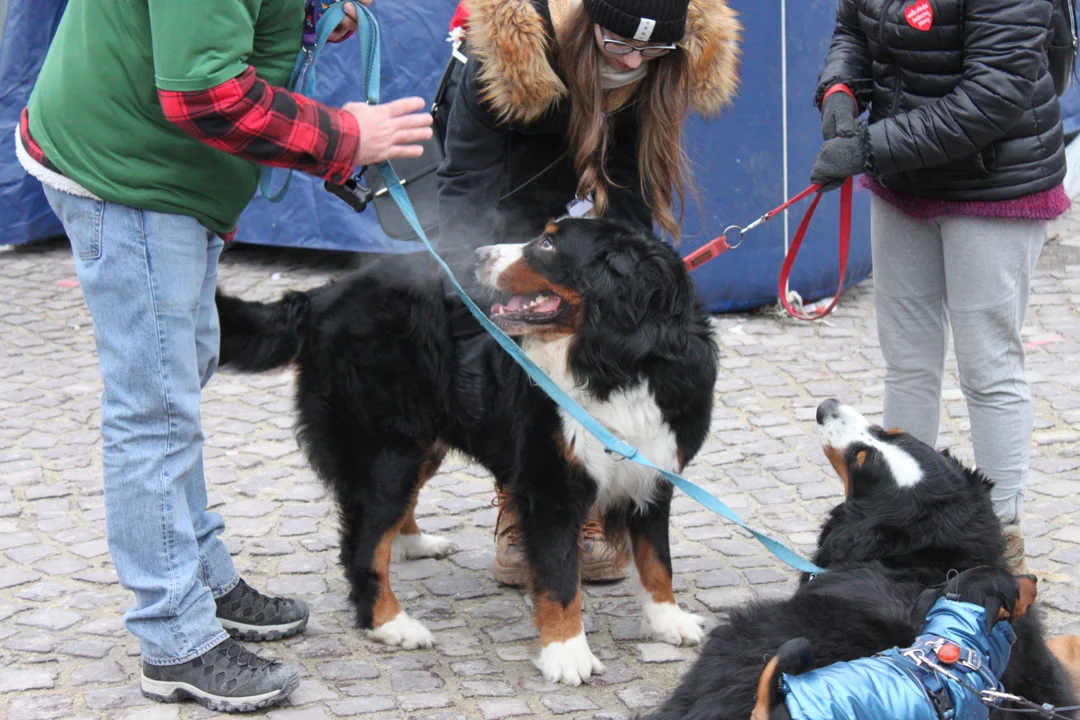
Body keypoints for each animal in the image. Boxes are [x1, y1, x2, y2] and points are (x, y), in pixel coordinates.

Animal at [212, 216, 717, 686]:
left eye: (547, 244)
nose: (478, 255)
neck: (617, 363)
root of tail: (324, 295)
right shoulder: (551, 485)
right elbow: (560, 578)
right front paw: (567, 653)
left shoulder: (655, 471)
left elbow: (657, 560)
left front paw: (667, 620)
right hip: (385, 451)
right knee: (364, 544)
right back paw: (391, 623)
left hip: (419, 442)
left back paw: (414, 543)